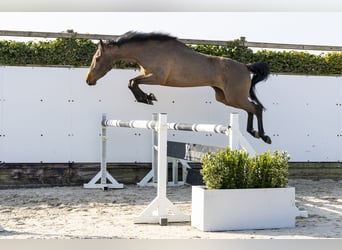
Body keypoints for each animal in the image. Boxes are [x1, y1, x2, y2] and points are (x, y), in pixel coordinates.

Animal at [86, 31, 272, 145]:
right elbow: (132, 82)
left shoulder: (157, 78)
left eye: (97, 58)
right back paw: (253, 132)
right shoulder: (148, 75)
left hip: (234, 97)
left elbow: (132, 82)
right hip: (225, 98)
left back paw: (264, 136)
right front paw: (147, 98)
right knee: (251, 109)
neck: (148, 51)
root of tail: (246, 66)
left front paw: (147, 98)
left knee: (256, 108)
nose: (88, 80)